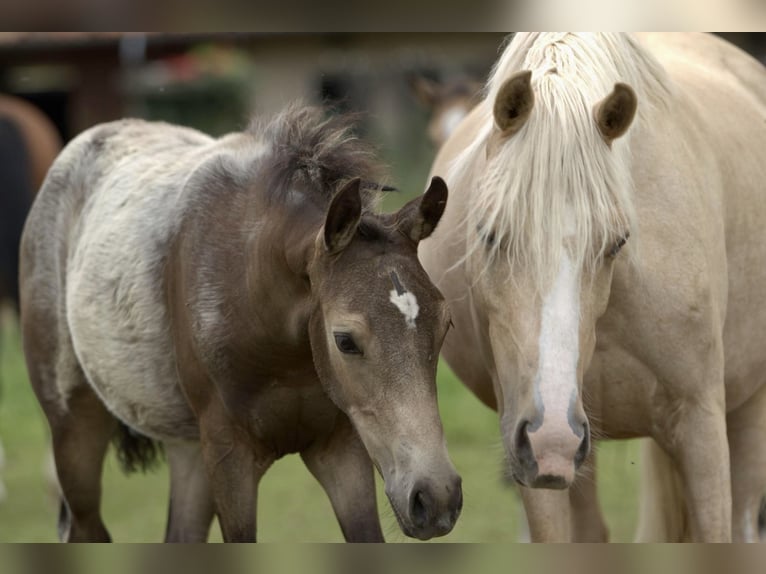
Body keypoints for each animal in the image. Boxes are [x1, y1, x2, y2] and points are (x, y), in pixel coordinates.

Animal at [19, 107, 462, 544]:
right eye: (345, 341)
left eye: (445, 325)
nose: (436, 497)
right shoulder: (229, 456)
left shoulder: (341, 447)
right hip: (75, 430)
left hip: (188, 450)